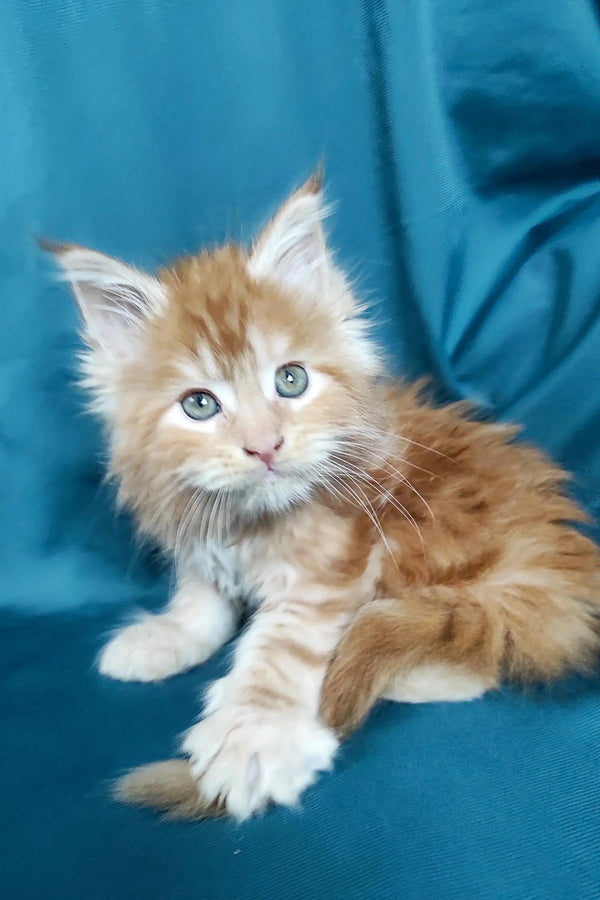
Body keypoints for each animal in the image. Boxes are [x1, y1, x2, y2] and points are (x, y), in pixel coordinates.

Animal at [45, 176, 600, 824]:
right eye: (200, 404)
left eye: (291, 380)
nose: (264, 446)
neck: (248, 520)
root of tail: (554, 556)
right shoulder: (198, 531)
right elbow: (200, 598)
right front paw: (167, 637)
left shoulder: (334, 562)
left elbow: (281, 648)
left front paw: (254, 738)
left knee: (473, 640)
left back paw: (402, 670)